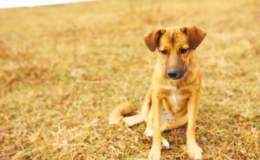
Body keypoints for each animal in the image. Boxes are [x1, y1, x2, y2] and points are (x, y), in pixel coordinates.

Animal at [108, 25, 206, 159]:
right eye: (163, 51)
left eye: (184, 50)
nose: (172, 74)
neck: (176, 82)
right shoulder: (157, 98)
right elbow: (156, 133)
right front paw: (155, 151)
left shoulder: (193, 98)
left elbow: (190, 128)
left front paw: (192, 148)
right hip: (151, 98)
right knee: (150, 129)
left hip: (178, 119)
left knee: (156, 129)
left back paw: (162, 142)